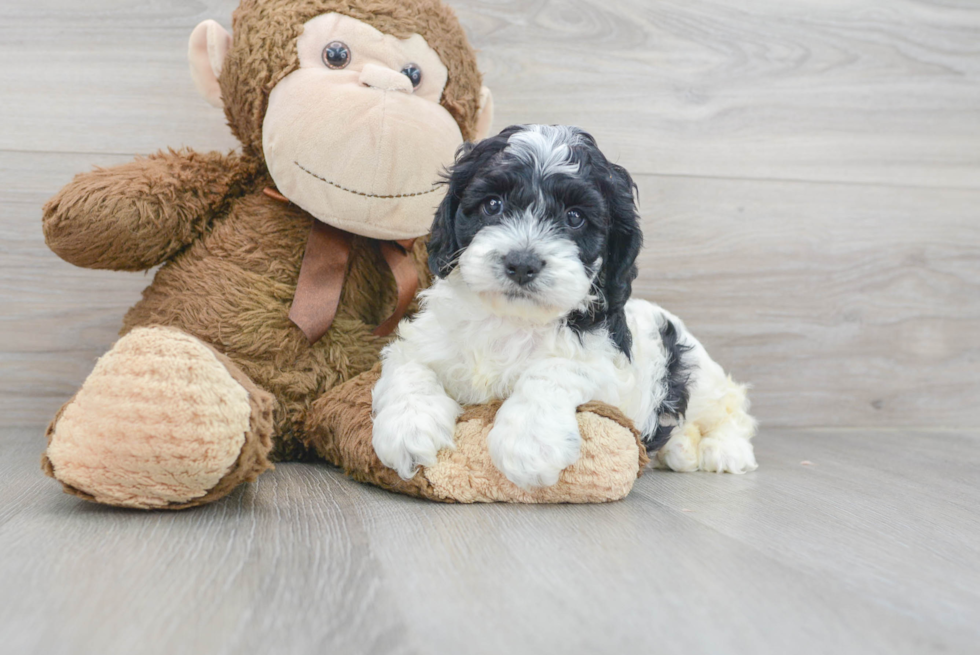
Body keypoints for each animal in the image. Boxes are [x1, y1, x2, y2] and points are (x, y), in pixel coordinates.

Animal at [374, 125, 756, 490]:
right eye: (493, 205)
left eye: (574, 217)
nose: (522, 263)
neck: (511, 319)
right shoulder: (424, 341)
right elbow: (409, 365)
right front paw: (407, 428)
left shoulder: (609, 369)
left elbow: (553, 370)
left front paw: (529, 443)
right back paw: (680, 448)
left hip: (698, 376)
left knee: (729, 408)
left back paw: (722, 450)